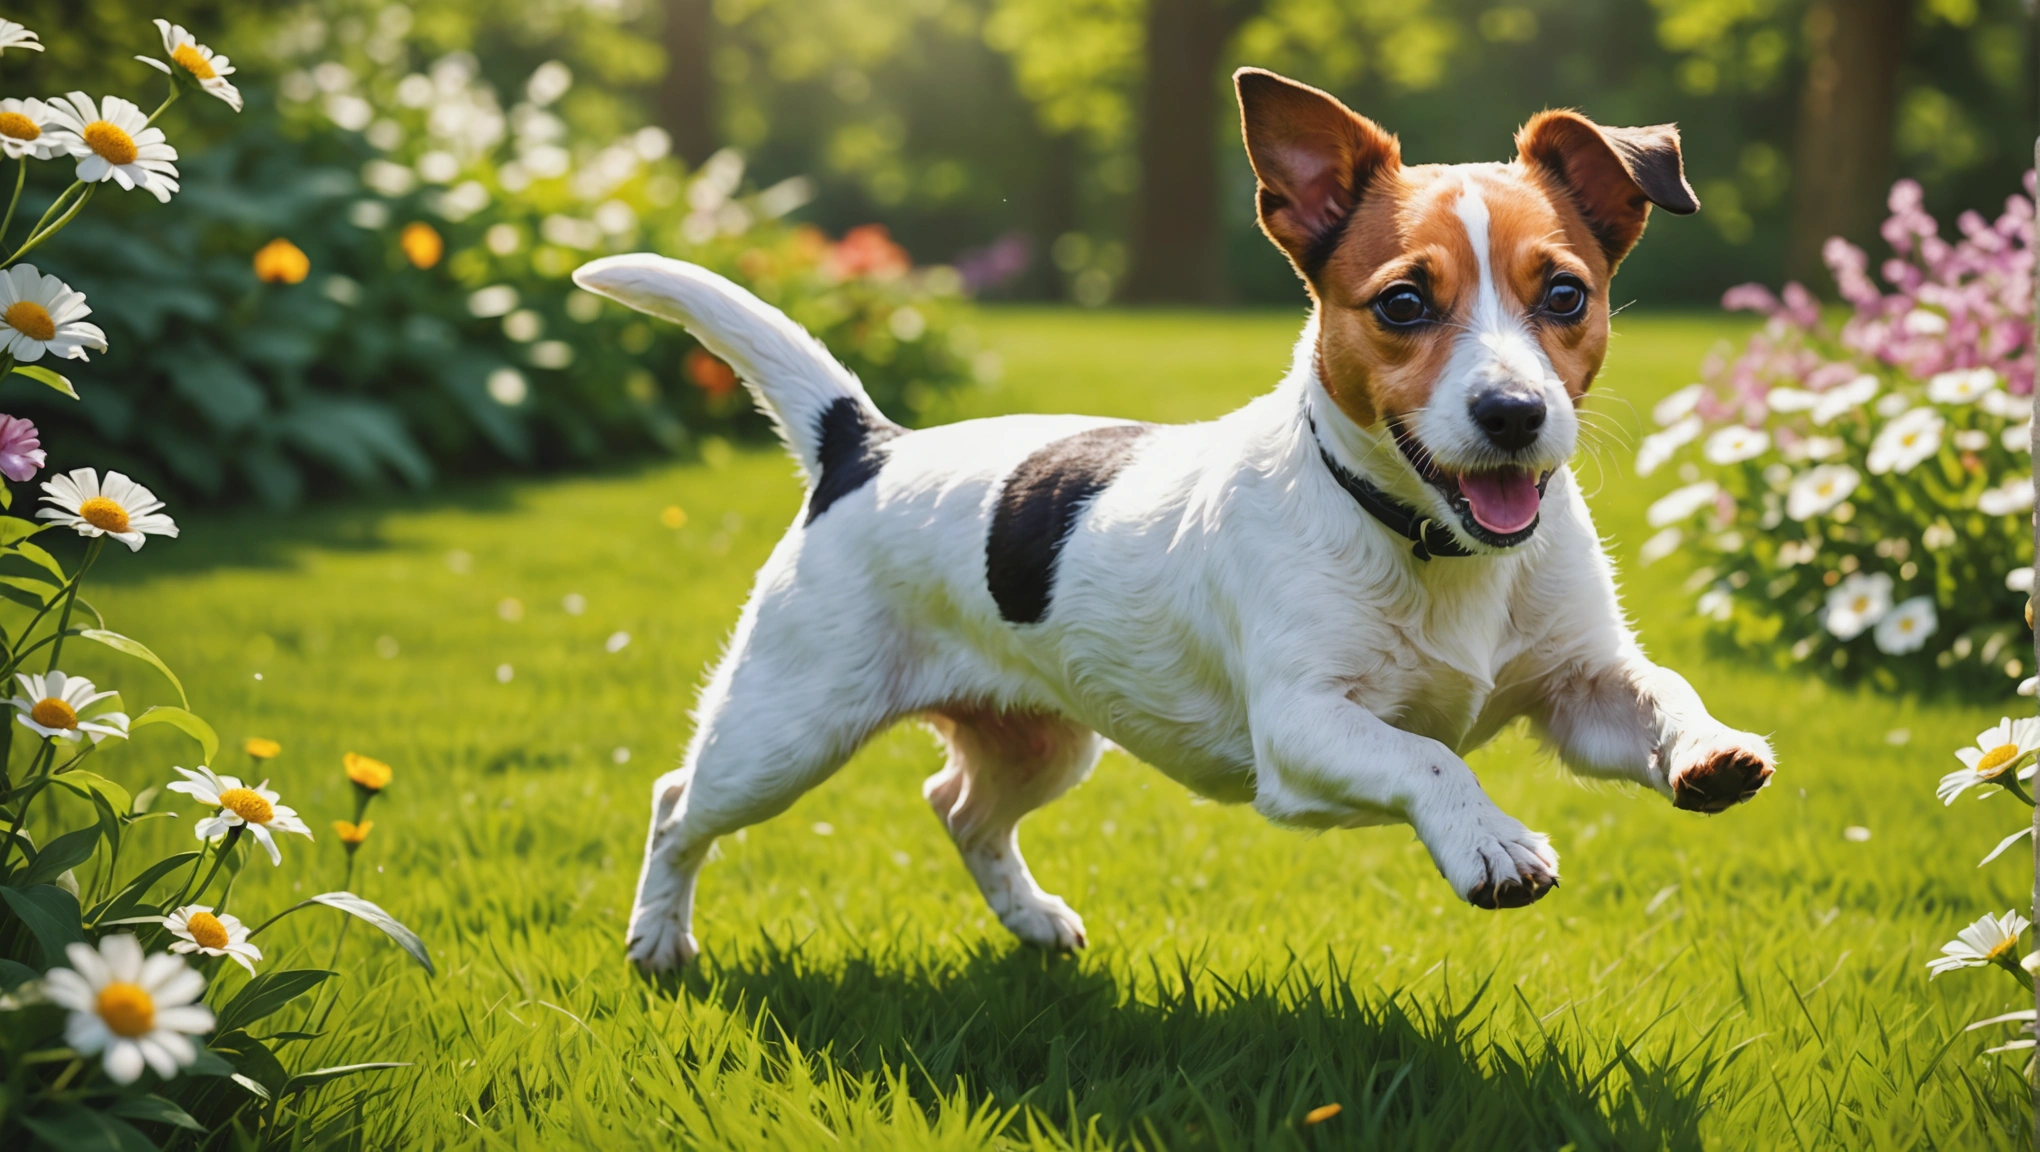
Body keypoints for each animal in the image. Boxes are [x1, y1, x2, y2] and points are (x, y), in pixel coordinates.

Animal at [575, 67, 1770, 970]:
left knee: (958, 805)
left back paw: (1030, 918)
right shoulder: (1303, 728)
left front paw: (1710, 748)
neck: (1430, 544)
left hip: (1042, 738)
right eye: (1402, 303)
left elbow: (1660, 690)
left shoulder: (1579, 689)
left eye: (1565, 294)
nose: (1514, 414)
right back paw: (658, 939)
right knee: (679, 800)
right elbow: (1433, 761)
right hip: (787, 728)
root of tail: (865, 444)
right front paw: (1490, 841)